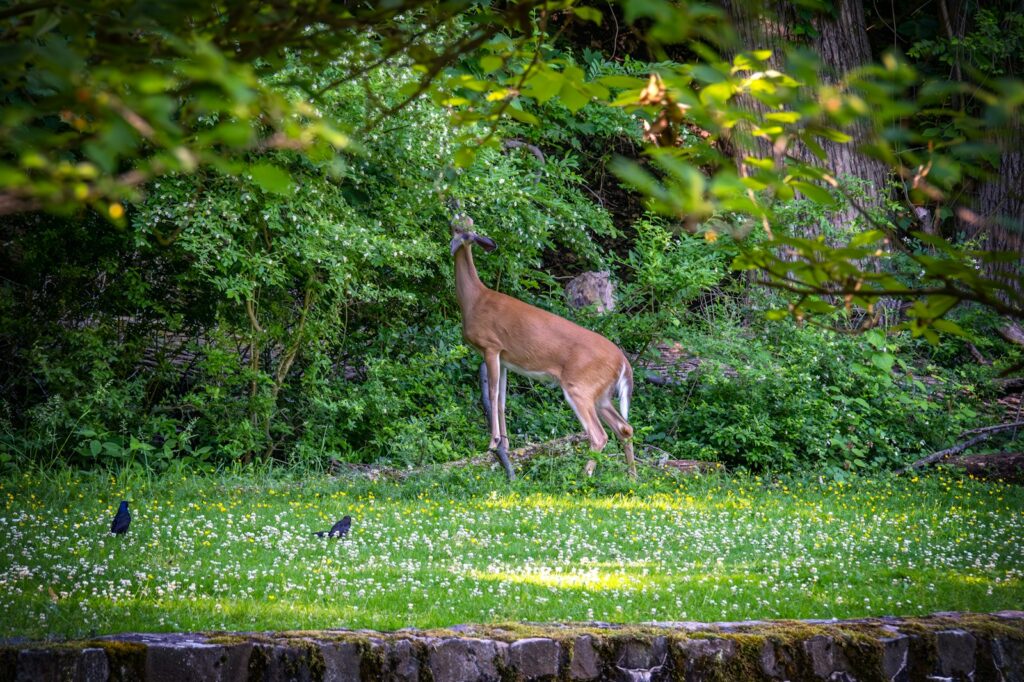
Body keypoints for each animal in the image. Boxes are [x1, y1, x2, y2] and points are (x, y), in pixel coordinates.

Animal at [448, 207, 636, 481]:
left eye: (463, 228)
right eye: (457, 226)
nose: (459, 236)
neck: (474, 300)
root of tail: (624, 362)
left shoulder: (491, 346)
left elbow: (492, 394)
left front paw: (493, 443)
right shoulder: (505, 357)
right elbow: (502, 400)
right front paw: (506, 445)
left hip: (580, 386)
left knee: (599, 434)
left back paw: (583, 475)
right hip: (601, 394)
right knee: (625, 427)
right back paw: (632, 477)